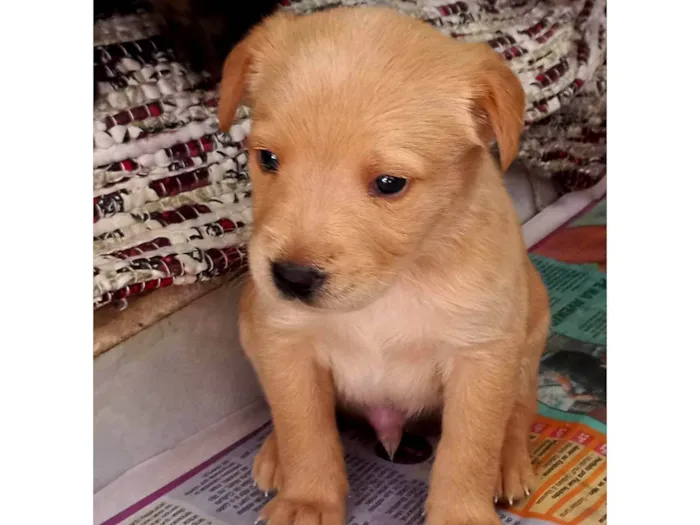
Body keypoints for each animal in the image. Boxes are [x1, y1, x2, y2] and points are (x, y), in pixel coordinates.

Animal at [219, 7, 552, 524]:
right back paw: (275, 455)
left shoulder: (480, 356)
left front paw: (461, 512)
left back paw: (509, 462)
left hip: (528, 335)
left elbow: (469, 449)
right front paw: (307, 498)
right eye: (267, 158)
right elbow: (304, 430)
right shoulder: (286, 343)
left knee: (518, 410)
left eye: (390, 183)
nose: (291, 278)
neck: (395, 281)